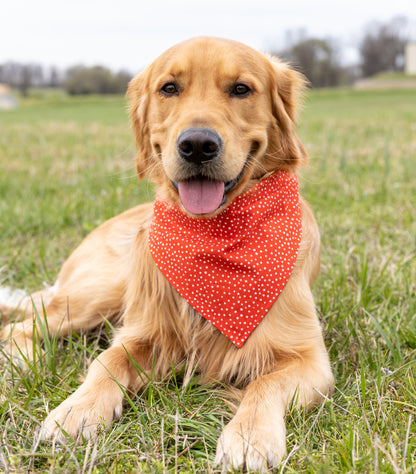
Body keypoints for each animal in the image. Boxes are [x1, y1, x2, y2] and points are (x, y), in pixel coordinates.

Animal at [0, 37, 334, 470]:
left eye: (241, 89)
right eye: (169, 88)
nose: (197, 145)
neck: (211, 236)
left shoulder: (309, 358)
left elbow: (265, 382)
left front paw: (250, 437)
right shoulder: (143, 332)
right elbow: (107, 361)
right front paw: (76, 411)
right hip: (97, 294)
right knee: (21, 326)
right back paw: (24, 360)